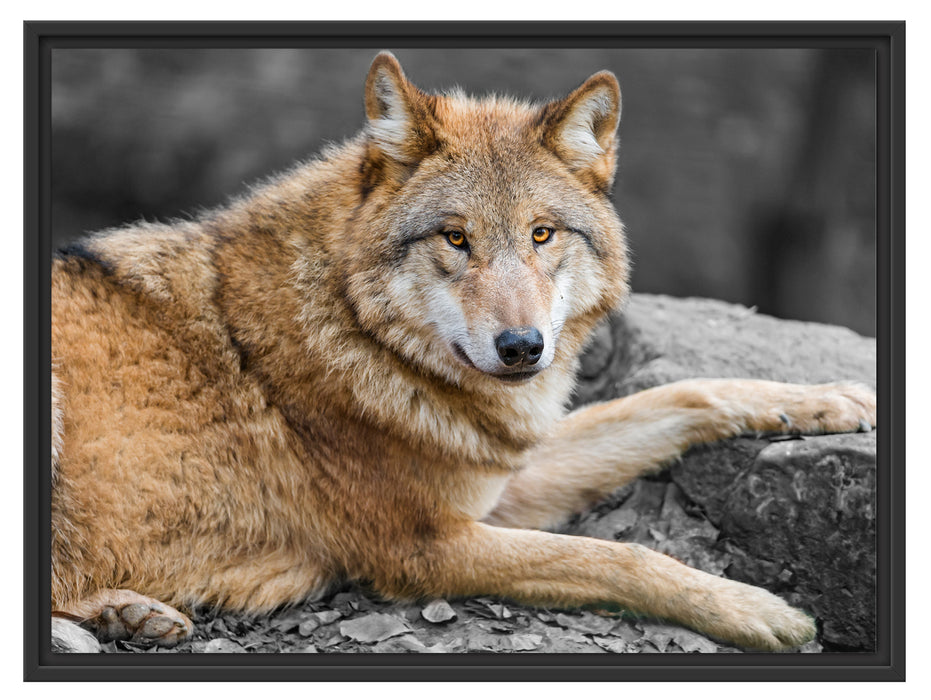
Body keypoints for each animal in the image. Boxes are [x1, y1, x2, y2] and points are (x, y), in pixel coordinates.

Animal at [51, 53, 876, 652]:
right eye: (455, 238)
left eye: (541, 234)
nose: (521, 347)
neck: (358, 334)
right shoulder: (425, 548)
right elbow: (613, 556)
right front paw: (755, 608)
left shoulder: (501, 476)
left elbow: (685, 392)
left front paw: (827, 399)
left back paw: (131, 614)